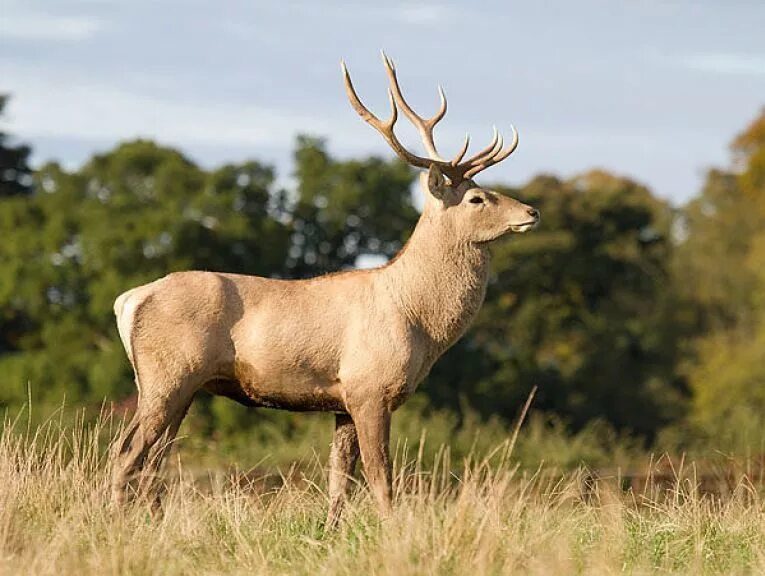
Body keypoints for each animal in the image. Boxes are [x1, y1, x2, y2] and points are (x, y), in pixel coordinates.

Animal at [110, 54, 540, 528]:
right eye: (477, 199)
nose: (532, 211)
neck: (418, 321)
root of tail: (128, 301)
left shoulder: (342, 400)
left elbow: (340, 482)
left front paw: (332, 532)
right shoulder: (370, 386)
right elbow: (380, 477)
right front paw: (393, 531)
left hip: (182, 385)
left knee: (154, 459)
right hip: (167, 373)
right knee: (124, 452)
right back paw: (110, 518)